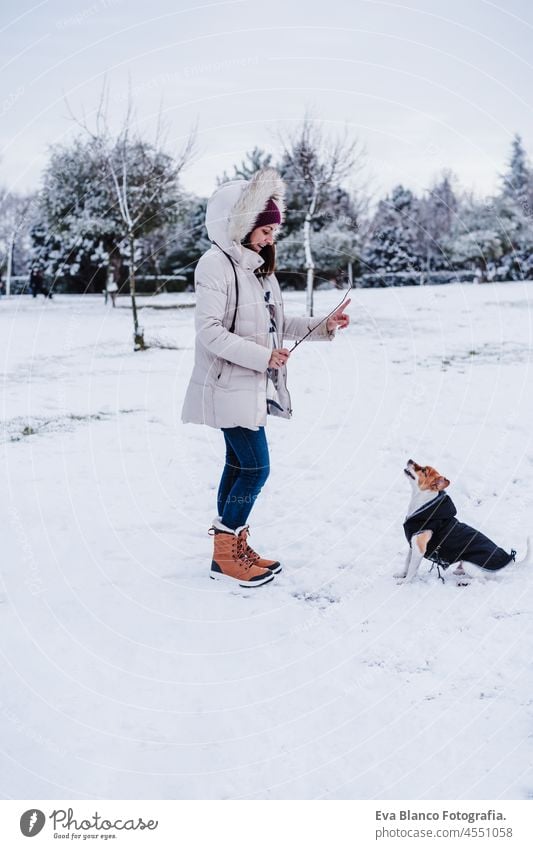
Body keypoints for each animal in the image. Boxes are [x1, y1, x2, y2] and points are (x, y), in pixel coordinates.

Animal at [394, 460, 524, 580]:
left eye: (424, 470)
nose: (410, 460)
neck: (422, 503)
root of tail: (508, 561)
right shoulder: (412, 546)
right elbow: (407, 563)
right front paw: (402, 575)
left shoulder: (419, 550)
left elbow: (411, 570)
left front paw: (405, 583)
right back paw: (459, 572)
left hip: (469, 564)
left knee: (481, 579)